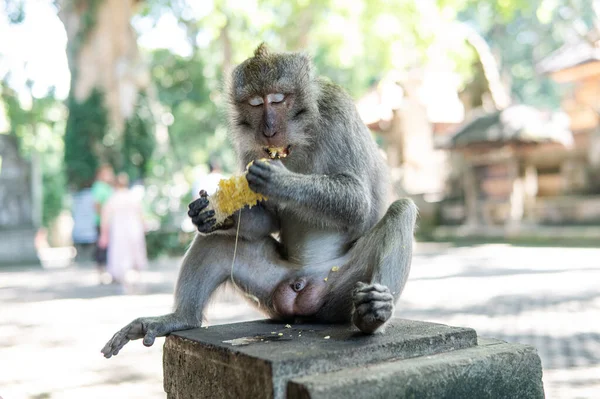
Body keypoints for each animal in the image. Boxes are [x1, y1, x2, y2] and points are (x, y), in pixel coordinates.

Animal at [101, 43, 414, 360]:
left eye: (277, 99)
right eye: (254, 104)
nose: (269, 130)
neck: (297, 140)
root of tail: (301, 290)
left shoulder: (338, 113)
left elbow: (359, 203)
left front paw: (279, 181)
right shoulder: (249, 146)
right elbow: (265, 219)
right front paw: (212, 213)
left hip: (341, 287)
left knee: (401, 211)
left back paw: (373, 315)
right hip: (269, 290)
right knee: (218, 243)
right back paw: (180, 318)